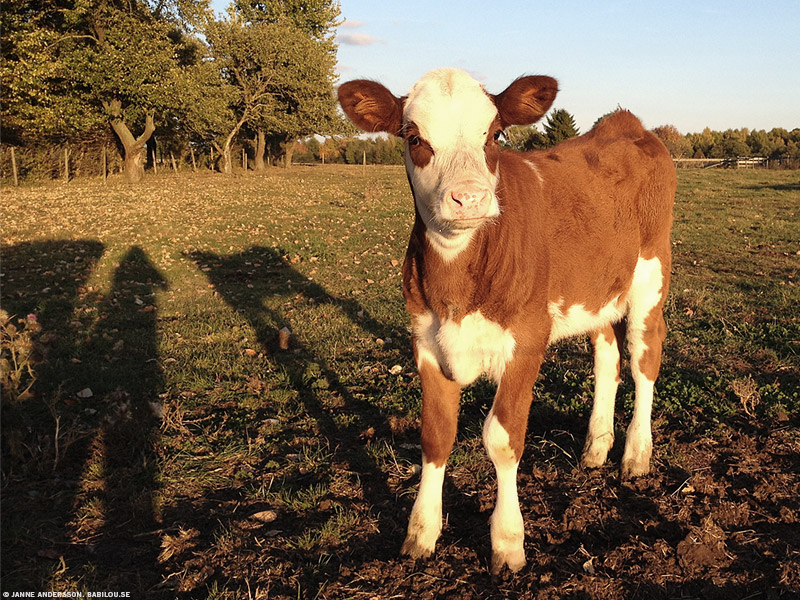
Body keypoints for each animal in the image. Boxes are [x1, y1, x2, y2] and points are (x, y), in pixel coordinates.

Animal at [338, 69, 676, 572]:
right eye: (414, 137)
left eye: (495, 134)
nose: (469, 198)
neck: (459, 286)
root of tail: (627, 124)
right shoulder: (425, 340)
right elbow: (435, 434)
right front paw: (421, 532)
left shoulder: (528, 339)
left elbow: (502, 437)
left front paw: (508, 541)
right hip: (597, 289)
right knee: (607, 359)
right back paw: (597, 446)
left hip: (651, 274)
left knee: (644, 359)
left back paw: (636, 453)